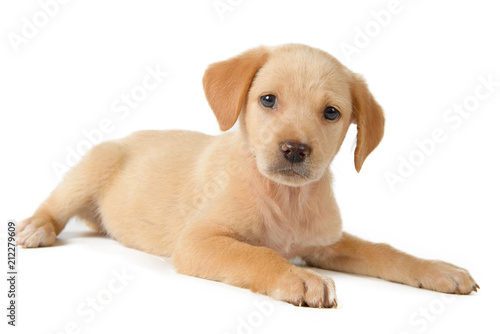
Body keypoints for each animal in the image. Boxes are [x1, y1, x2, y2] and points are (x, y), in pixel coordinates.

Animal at [16, 43, 476, 308]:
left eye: (331, 113)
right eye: (267, 100)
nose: (294, 149)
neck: (287, 199)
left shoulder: (326, 244)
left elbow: (382, 251)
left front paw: (438, 269)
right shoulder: (198, 241)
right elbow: (257, 254)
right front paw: (298, 277)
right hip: (92, 166)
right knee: (56, 204)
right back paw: (35, 227)